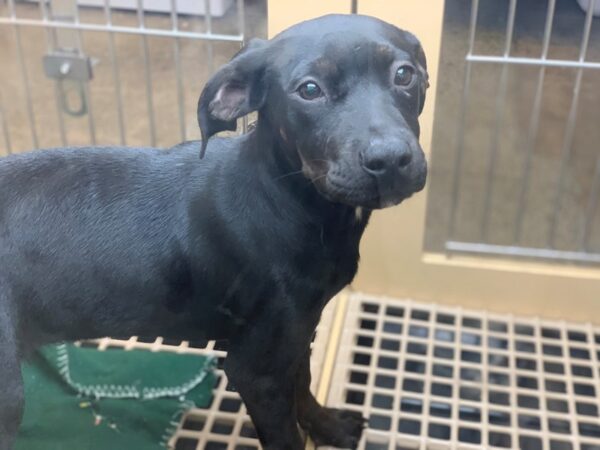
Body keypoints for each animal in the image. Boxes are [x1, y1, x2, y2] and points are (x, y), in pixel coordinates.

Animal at [2, 14, 428, 450]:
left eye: (405, 74)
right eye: (310, 90)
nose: (390, 160)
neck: (286, 198)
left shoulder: (298, 333)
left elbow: (303, 387)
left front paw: (329, 426)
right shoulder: (257, 370)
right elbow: (286, 433)